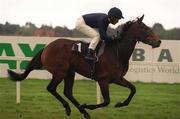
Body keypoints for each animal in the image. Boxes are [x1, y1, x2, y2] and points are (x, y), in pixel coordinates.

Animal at [7, 15, 161, 119]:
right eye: (145, 28)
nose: (158, 41)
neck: (117, 52)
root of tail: (46, 47)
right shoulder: (103, 80)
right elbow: (106, 101)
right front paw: (88, 105)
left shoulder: (117, 78)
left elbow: (133, 89)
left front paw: (120, 104)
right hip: (60, 72)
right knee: (51, 88)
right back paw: (71, 108)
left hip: (70, 72)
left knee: (68, 92)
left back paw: (83, 112)